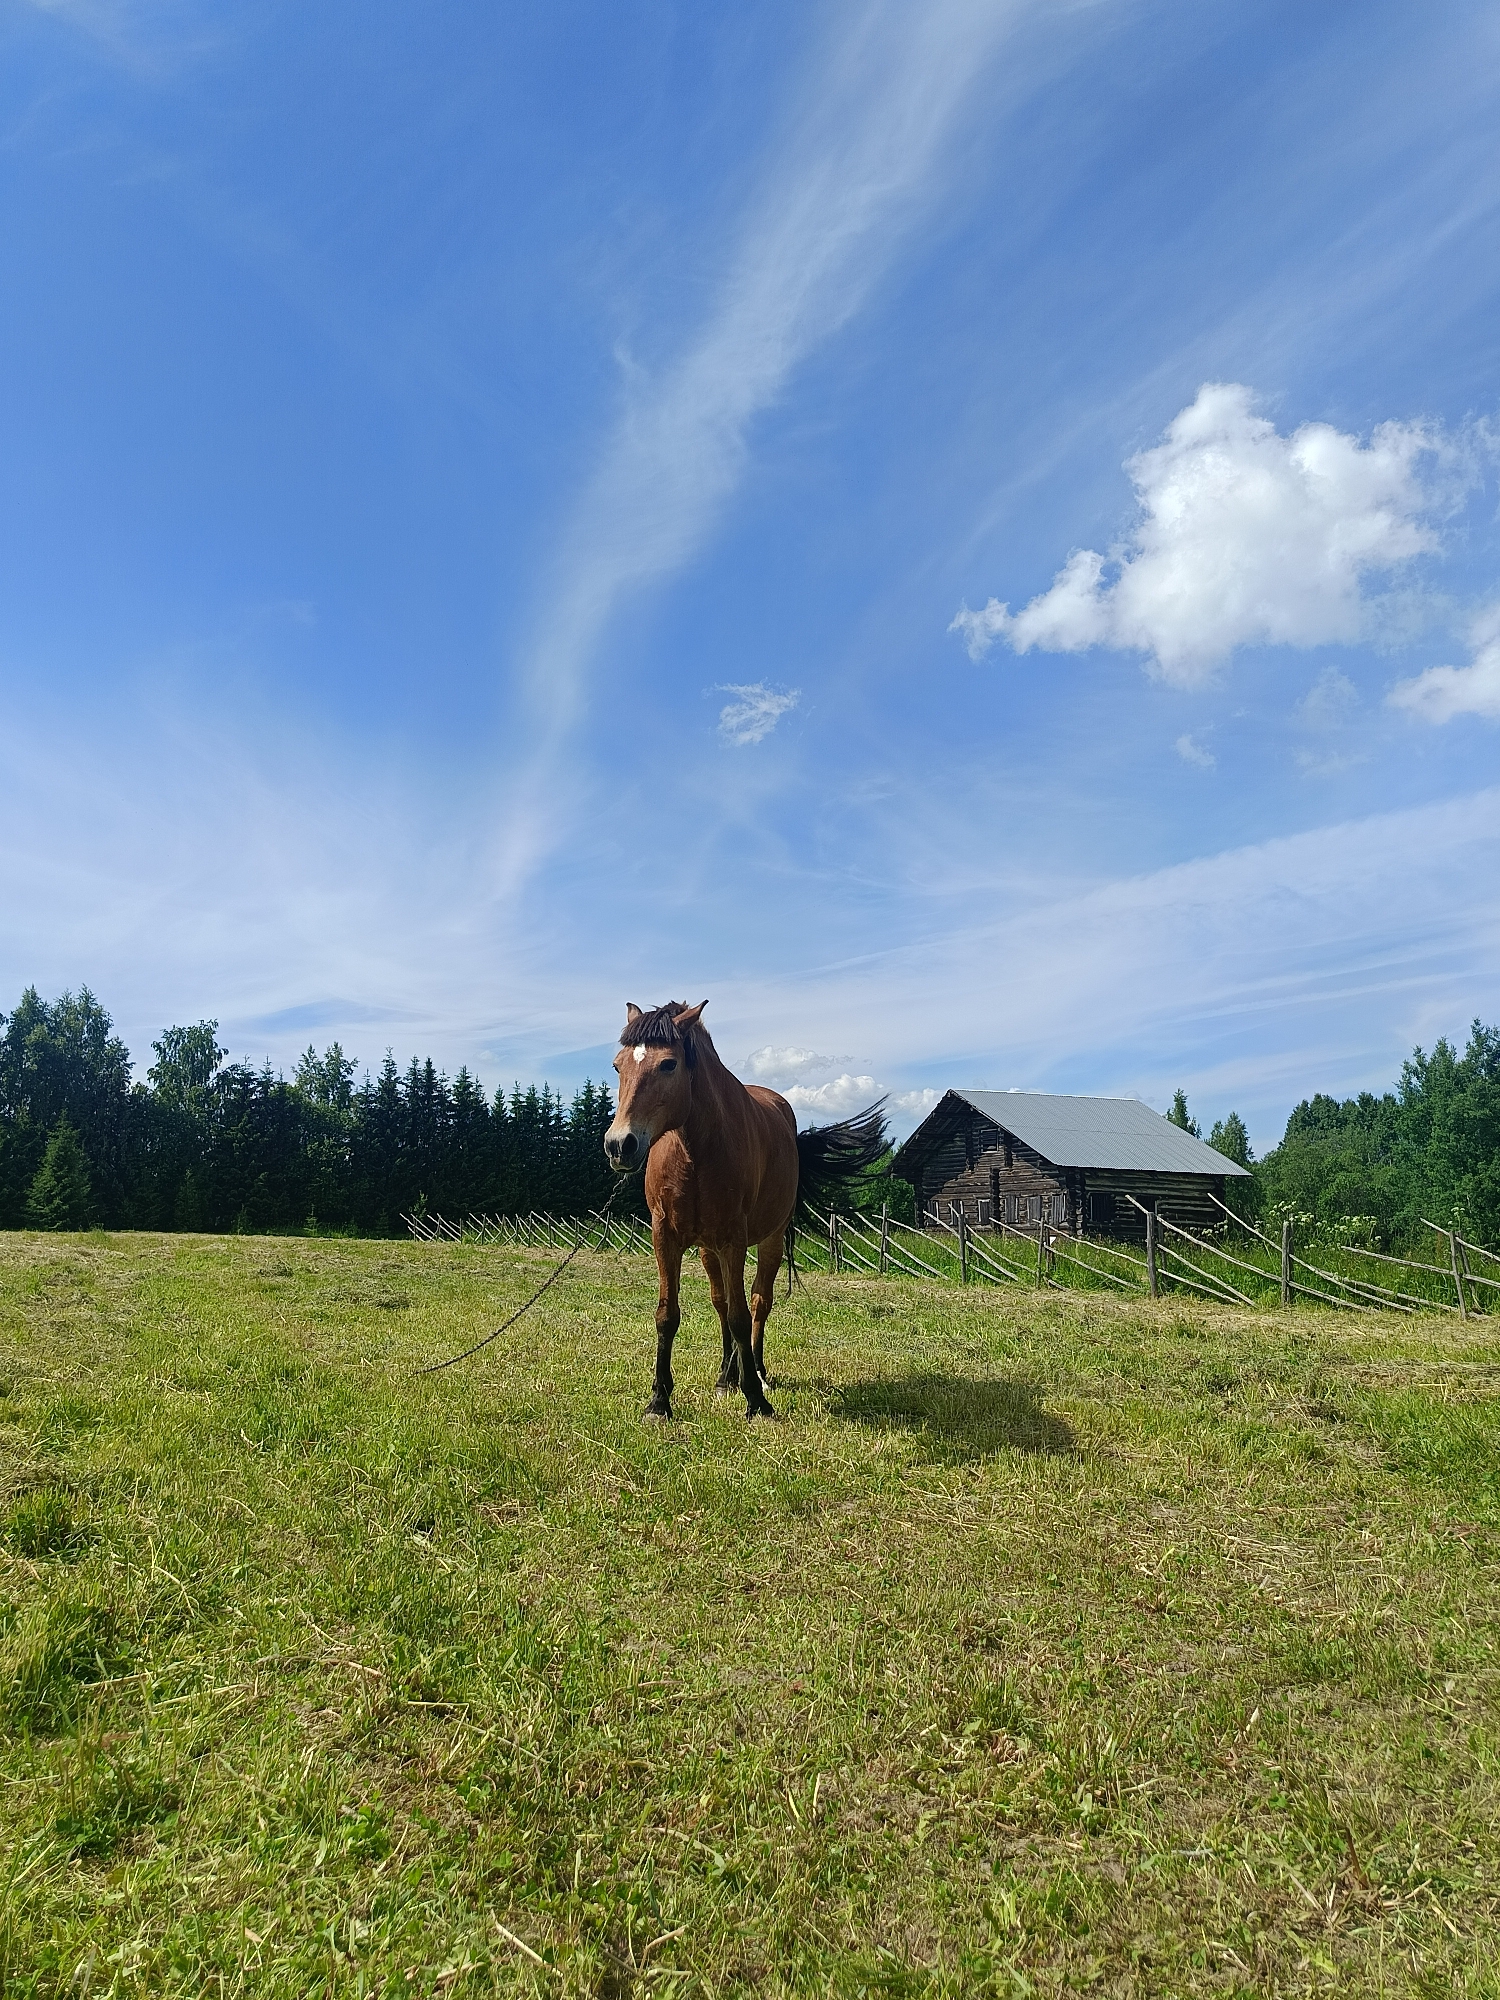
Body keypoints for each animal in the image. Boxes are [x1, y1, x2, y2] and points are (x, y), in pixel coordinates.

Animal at [603, 1000, 887, 1420]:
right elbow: (668, 1315)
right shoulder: (665, 1236)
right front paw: (659, 1401)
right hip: (707, 1249)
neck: (695, 1151)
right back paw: (727, 1375)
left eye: (669, 1064)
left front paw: (756, 1399)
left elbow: (741, 1316)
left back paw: (757, 1372)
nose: (619, 1145)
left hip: (769, 1240)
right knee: (721, 1302)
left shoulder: (732, 1240)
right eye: (618, 1066)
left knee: (757, 1303)